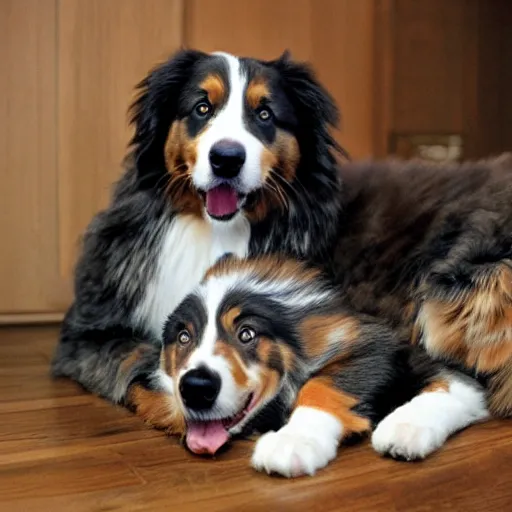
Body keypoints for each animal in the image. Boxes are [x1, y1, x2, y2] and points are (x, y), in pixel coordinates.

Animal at [158, 256, 486, 476]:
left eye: (247, 334)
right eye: (184, 337)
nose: (195, 387)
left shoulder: (381, 340)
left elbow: (322, 383)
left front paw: (293, 440)